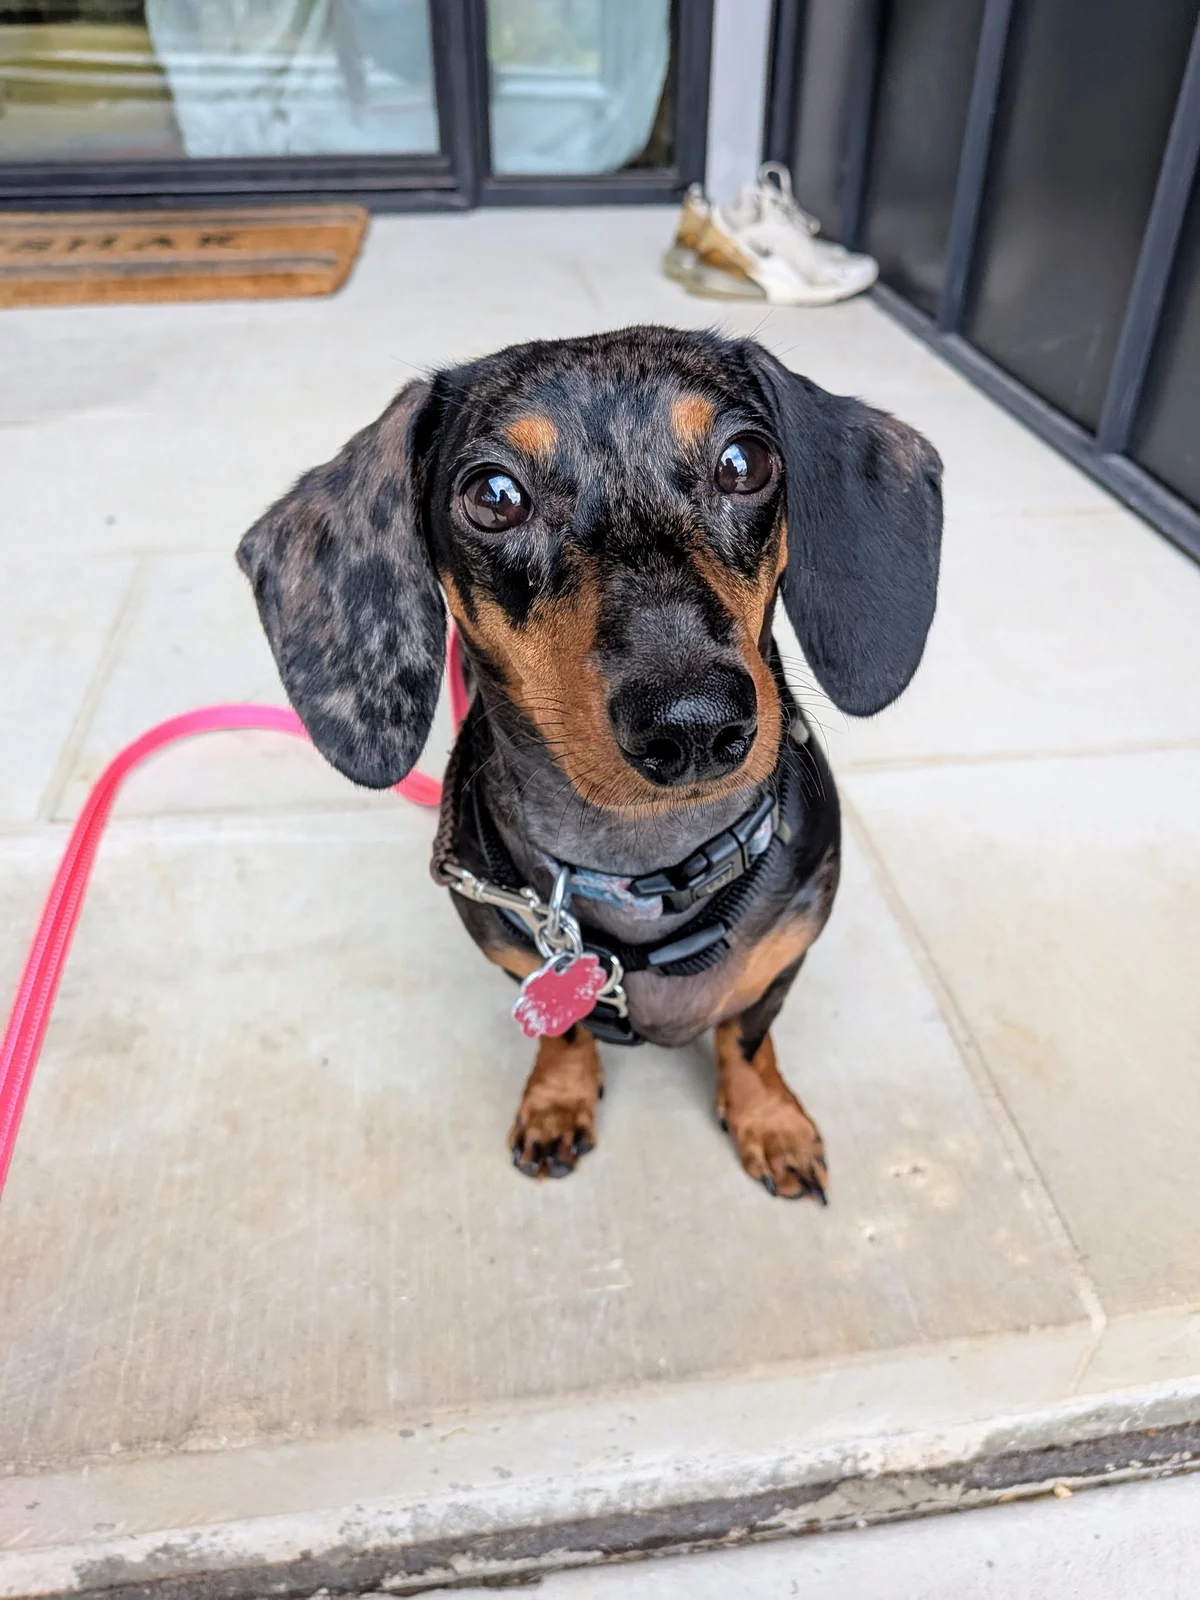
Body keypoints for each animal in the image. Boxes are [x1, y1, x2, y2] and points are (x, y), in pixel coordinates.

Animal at [237, 326, 942, 1201]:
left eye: (744, 461)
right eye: (493, 496)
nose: (695, 722)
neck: (643, 866)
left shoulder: (785, 958)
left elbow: (746, 1037)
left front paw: (769, 1121)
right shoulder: (515, 953)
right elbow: (565, 1034)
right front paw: (557, 1099)